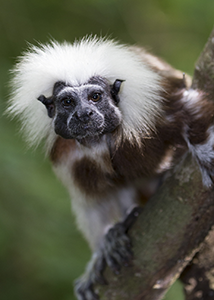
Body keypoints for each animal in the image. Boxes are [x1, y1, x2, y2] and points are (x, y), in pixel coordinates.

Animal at [6, 36, 214, 298]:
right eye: (67, 102)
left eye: (95, 97)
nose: (84, 114)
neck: (100, 139)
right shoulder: (67, 155)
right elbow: (94, 201)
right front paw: (100, 252)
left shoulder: (157, 103)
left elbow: (189, 106)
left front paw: (206, 151)